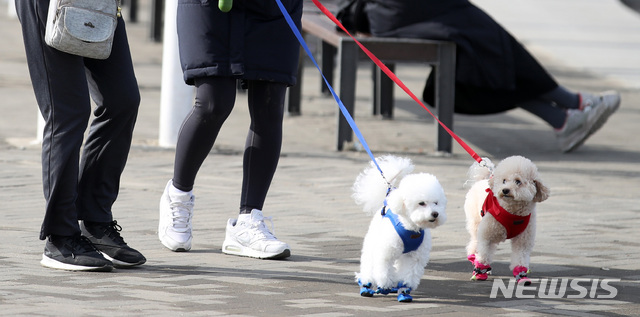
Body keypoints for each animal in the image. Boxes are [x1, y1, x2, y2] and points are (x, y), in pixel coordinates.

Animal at [352, 155, 448, 302]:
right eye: (421, 203)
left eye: (436, 203)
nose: (435, 214)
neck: (411, 228)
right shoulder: (386, 252)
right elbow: (384, 269)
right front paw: (385, 285)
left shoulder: (414, 257)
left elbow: (408, 274)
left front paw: (404, 291)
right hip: (373, 243)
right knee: (369, 264)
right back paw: (366, 285)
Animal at [464, 156, 552, 284]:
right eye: (504, 180)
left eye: (518, 181)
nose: (505, 190)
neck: (513, 212)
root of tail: (481, 180)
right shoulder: (487, 235)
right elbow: (484, 252)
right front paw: (480, 272)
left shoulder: (523, 239)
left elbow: (520, 256)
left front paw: (521, 275)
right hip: (476, 222)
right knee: (475, 243)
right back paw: (474, 259)